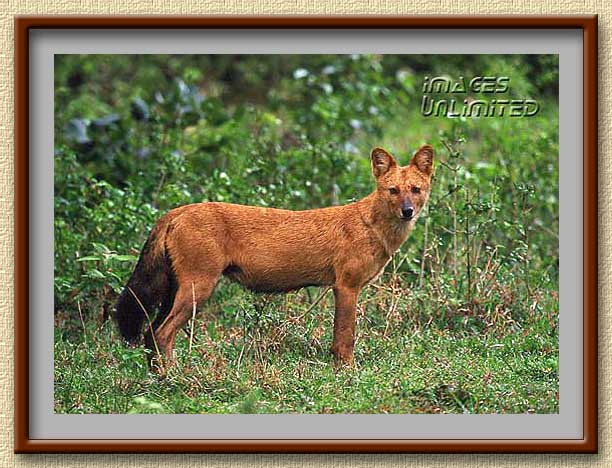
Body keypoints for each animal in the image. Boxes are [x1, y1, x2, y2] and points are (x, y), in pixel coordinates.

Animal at [113, 144, 430, 372]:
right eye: (393, 190)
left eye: (415, 190)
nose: (407, 211)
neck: (372, 225)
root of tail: (175, 211)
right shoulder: (346, 287)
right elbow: (344, 337)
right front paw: (347, 371)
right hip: (197, 289)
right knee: (161, 334)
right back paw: (173, 377)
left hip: (174, 291)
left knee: (149, 333)